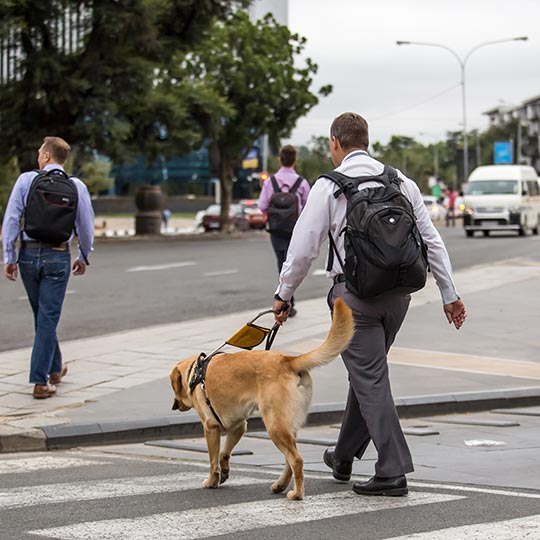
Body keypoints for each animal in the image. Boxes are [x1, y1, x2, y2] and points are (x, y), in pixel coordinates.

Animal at [169, 298, 354, 500]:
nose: (174, 406)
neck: (196, 372)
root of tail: (289, 360)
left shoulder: (210, 428)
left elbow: (213, 460)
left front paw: (212, 481)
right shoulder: (239, 426)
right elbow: (224, 453)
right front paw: (224, 472)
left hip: (275, 426)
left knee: (296, 460)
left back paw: (297, 493)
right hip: (287, 427)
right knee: (289, 460)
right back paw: (280, 485)